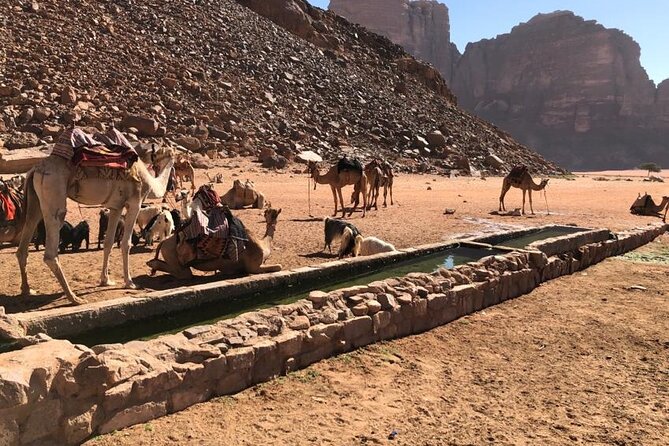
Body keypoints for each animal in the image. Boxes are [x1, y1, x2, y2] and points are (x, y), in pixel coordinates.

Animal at [16, 130, 175, 304]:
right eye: (171, 153)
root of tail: (35, 170)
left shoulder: (116, 207)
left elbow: (108, 242)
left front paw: (106, 280)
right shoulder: (135, 203)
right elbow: (126, 243)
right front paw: (130, 283)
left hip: (35, 200)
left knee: (24, 241)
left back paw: (28, 290)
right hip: (53, 191)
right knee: (51, 251)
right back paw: (74, 298)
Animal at [147, 207, 282, 279]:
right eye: (273, 214)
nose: (272, 217)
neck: (262, 244)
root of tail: (163, 242)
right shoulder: (254, 266)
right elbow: (279, 266)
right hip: (172, 254)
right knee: (184, 273)